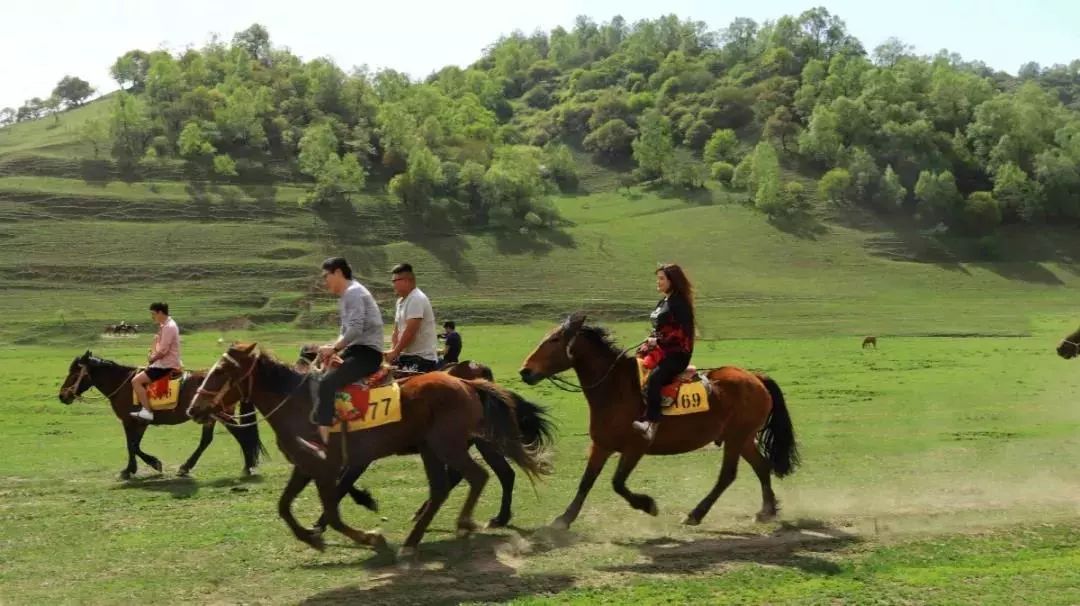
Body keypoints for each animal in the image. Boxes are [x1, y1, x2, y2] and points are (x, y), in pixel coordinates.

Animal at [57, 349, 265, 477]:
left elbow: (132, 445)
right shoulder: (139, 423)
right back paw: (186, 467)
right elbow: (134, 445)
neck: (123, 384)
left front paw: (145, 466)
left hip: (221, 414)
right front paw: (137, 467)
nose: (62, 396)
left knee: (241, 434)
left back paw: (247, 466)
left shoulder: (129, 421)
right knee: (208, 440)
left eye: (74, 373)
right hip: (211, 416)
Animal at [186, 343, 552, 561]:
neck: (300, 404)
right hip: (434, 449)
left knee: (479, 475)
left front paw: (368, 537)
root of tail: (468, 382)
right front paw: (311, 536)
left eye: (221, 371)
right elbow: (285, 506)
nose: (194, 407)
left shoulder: (327, 467)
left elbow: (333, 509)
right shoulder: (306, 465)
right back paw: (414, 538)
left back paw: (464, 523)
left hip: (448, 445)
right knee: (445, 487)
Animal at [518, 308, 799, 527]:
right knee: (761, 467)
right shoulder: (601, 445)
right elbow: (586, 482)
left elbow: (617, 483)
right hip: (743, 439)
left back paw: (695, 514)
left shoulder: (636, 447)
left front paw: (648, 505)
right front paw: (563, 520)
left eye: (555, 340)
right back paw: (766, 511)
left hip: (736, 439)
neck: (617, 388)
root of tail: (756, 378)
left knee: (728, 475)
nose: (525, 371)